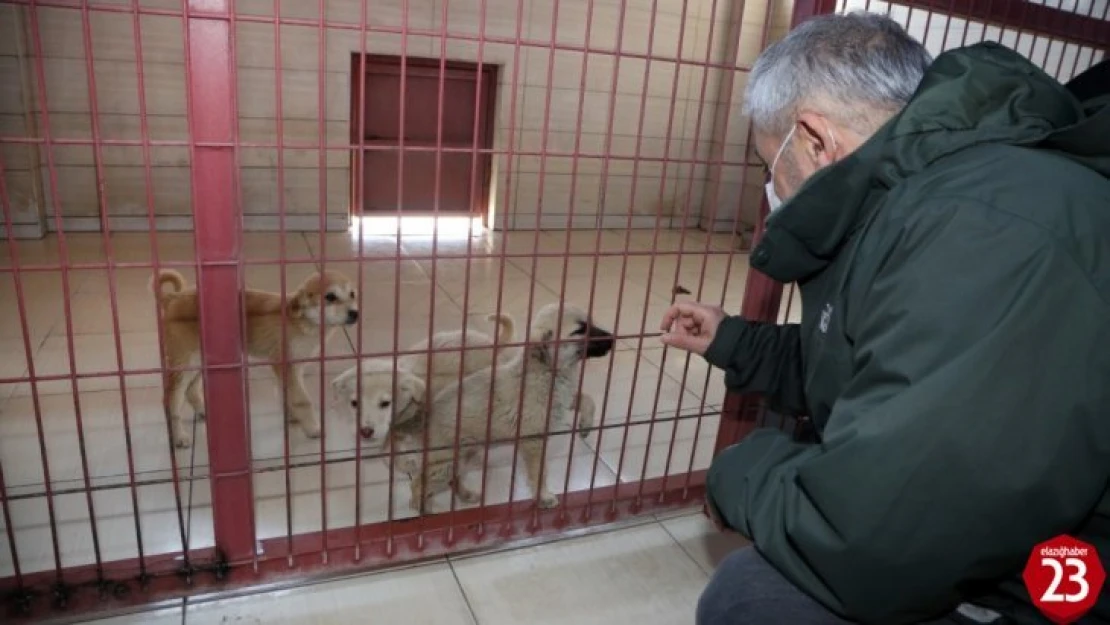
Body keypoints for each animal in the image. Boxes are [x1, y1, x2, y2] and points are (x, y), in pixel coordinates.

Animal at [152, 271, 357, 448]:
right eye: (330, 297)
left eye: (353, 294)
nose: (355, 313)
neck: (301, 321)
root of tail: (174, 298)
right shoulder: (284, 364)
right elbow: (302, 400)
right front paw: (313, 428)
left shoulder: (293, 367)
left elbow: (287, 393)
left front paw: (292, 416)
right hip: (185, 362)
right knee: (171, 399)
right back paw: (179, 436)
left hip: (200, 361)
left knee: (191, 390)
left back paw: (203, 411)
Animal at [392, 301, 617, 512]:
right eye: (579, 330)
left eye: (592, 323)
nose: (614, 338)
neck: (546, 370)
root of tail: (423, 419)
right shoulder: (534, 441)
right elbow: (539, 473)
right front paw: (543, 497)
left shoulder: (566, 397)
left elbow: (587, 399)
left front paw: (586, 425)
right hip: (444, 462)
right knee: (418, 484)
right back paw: (422, 508)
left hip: (465, 455)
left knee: (450, 479)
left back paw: (465, 495)